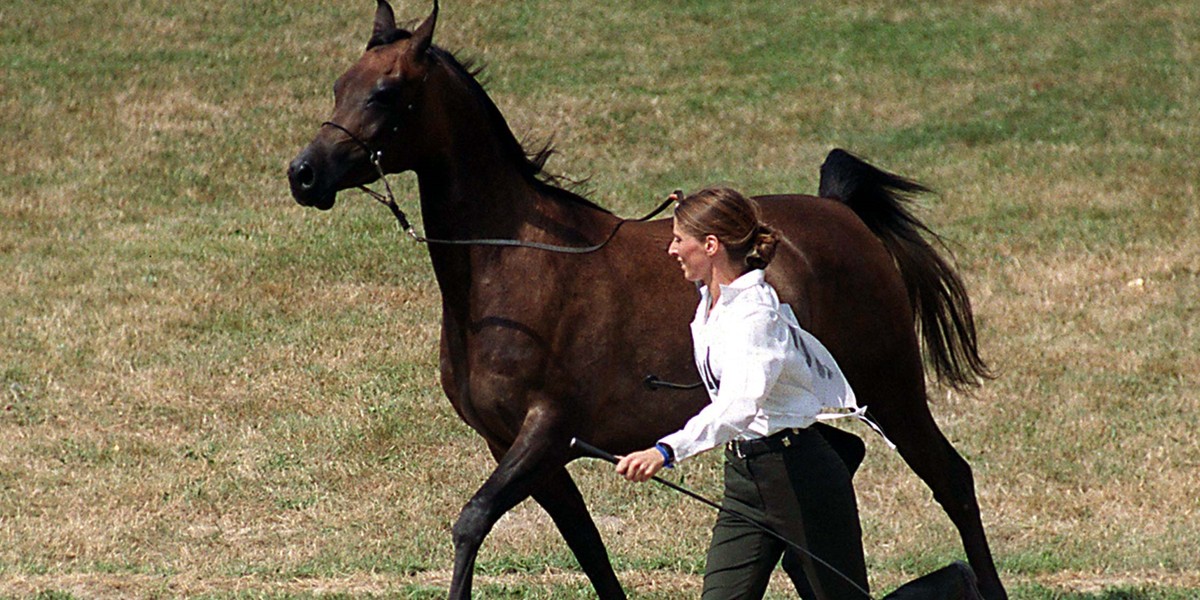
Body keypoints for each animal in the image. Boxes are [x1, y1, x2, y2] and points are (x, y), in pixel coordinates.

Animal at [288, 2, 1003, 597]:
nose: (304, 174)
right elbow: (587, 548)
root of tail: (841, 213)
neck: (514, 266)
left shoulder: (546, 431)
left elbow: (471, 523)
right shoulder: (520, 447)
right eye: (338, 85)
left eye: (386, 92)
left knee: (953, 481)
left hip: (891, 389)